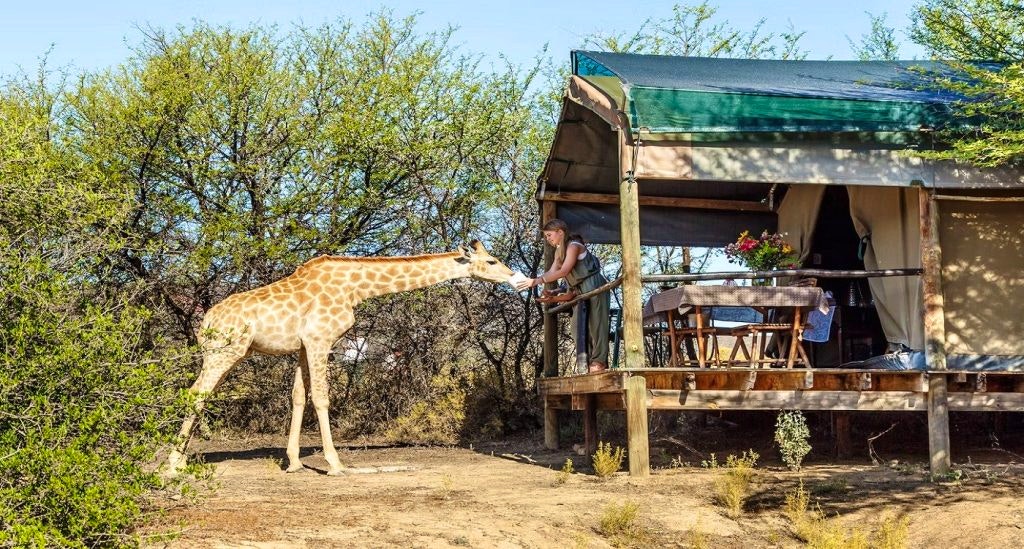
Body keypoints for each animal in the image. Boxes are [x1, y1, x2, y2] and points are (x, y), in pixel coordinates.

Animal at [169, 241, 520, 475]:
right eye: (491, 261)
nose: (515, 277)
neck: (355, 289)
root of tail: (206, 323)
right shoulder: (320, 338)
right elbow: (322, 398)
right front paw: (335, 464)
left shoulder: (303, 345)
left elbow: (298, 396)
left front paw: (294, 463)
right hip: (226, 351)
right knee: (196, 393)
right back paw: (174, 464)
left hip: (225, 352)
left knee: (199, 394)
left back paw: (182, 458)